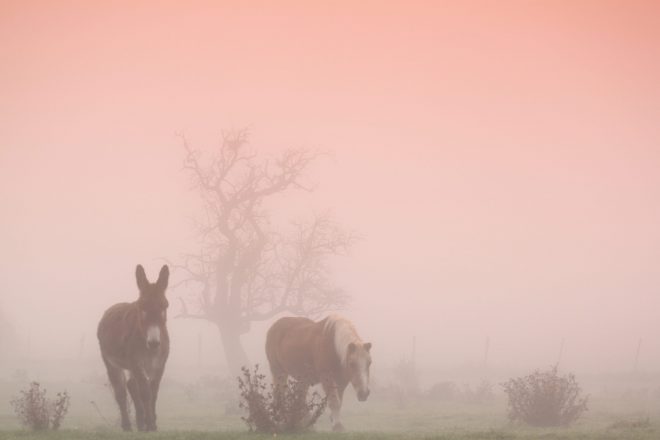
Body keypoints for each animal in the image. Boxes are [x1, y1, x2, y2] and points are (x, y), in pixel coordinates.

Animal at [98, 262, 171, 432]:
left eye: (165, 306)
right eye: (141, 307)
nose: (154, 343)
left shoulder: (160, 365)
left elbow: (153, 392)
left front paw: (152, 423)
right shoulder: (136, 363)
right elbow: (145, 392)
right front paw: (150, 424)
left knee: (131, 385)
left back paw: (140, 422)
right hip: (111, 363)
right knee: (121, 392)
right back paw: (128, 426)